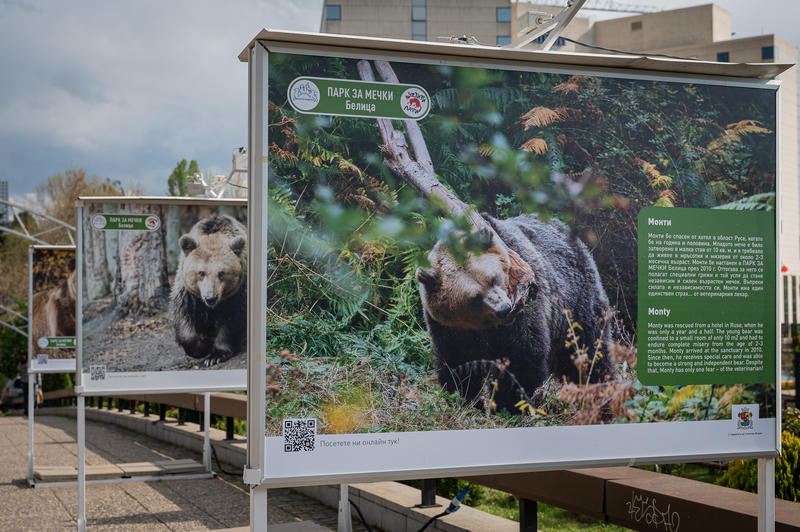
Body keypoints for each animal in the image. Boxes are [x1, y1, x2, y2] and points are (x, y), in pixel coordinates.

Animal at [173, 216, 248, 366]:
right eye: (201, 272)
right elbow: (184, 317)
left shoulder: (236, 294)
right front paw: (203, 345)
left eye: (222, 273)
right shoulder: (189, 293)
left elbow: (231, 320)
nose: (210, 298)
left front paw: (216, 355)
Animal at [416, 213, 608, 412]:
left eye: (493, 279)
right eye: (475, 297)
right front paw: (466, 399)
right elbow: (457, 360)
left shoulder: (524, 302)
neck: (482, 325)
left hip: (573, 298)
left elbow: (521, 354)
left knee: (586, 348)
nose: (504, 309)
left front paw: (506, 404)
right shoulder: (448, 326)